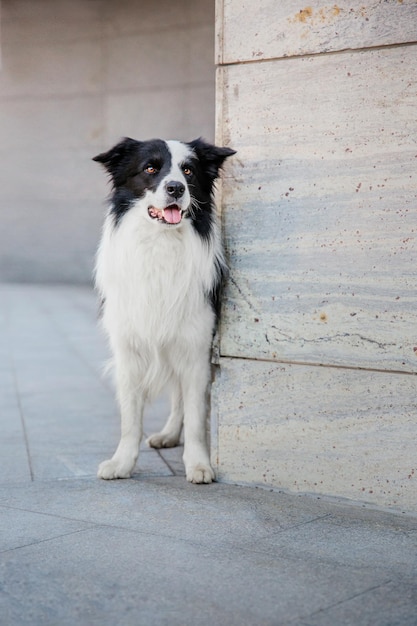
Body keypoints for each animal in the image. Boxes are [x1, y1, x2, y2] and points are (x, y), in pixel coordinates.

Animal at [92, 136, 234, 482]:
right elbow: (130, 419)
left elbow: (196, 416)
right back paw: (168, 435)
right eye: (150, 168)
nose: (176, 188)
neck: (160, 243)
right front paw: (122, 463)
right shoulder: (128, 350)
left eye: (188, 171)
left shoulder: (196, 347)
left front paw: (198, 463)